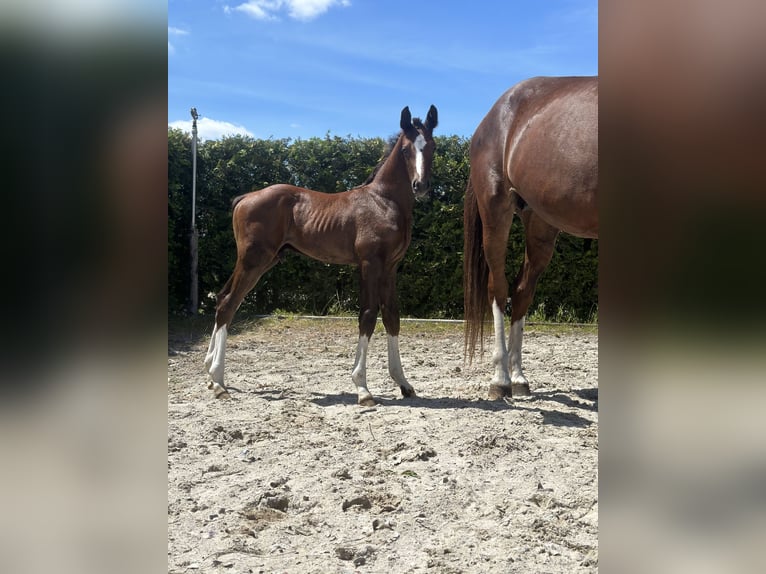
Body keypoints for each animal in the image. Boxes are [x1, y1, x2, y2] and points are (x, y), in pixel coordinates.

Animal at [207, 106, 440, 408]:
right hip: (253, 260)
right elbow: (367, 315)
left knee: (223, 298)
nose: (420, 185)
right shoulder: (369, 264)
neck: (383, 201)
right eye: (405, 149)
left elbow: (392, 316)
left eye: (432, 146)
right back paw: (218, 382)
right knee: (228, 305)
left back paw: (210, 373)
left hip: (260, 261)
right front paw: (362, 388)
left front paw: (403, 383)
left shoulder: (390, 267)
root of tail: (244, 198)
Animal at [464, 76, 596, 400]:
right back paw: (500, 380)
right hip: (496, 212)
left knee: (522, 290)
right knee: (498, 289)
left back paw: (518, 378)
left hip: (540, 225)